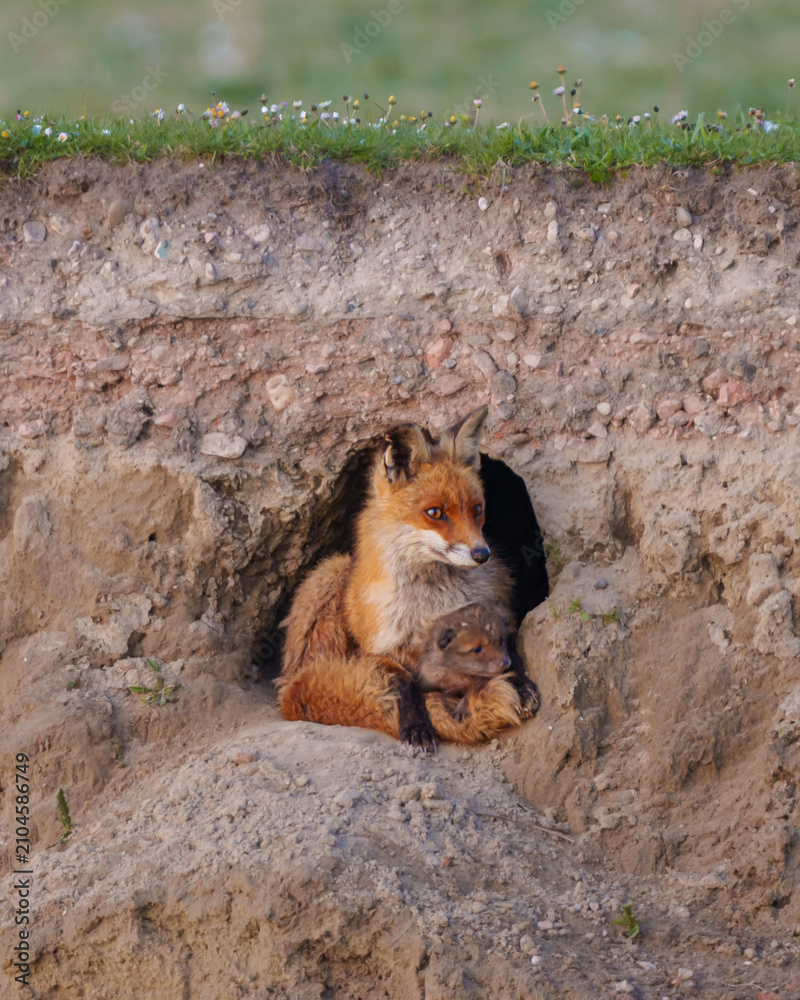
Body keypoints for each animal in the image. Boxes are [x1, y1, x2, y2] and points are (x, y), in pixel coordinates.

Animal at [278, 406, 540, 748]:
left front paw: (521, 685)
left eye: (477, 509)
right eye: (435, 513)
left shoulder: (500, 616)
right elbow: (403, 684)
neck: (432, 604)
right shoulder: (378, 651)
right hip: (330, 573)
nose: (482, 554)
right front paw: (416, 724)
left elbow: (511, 653)